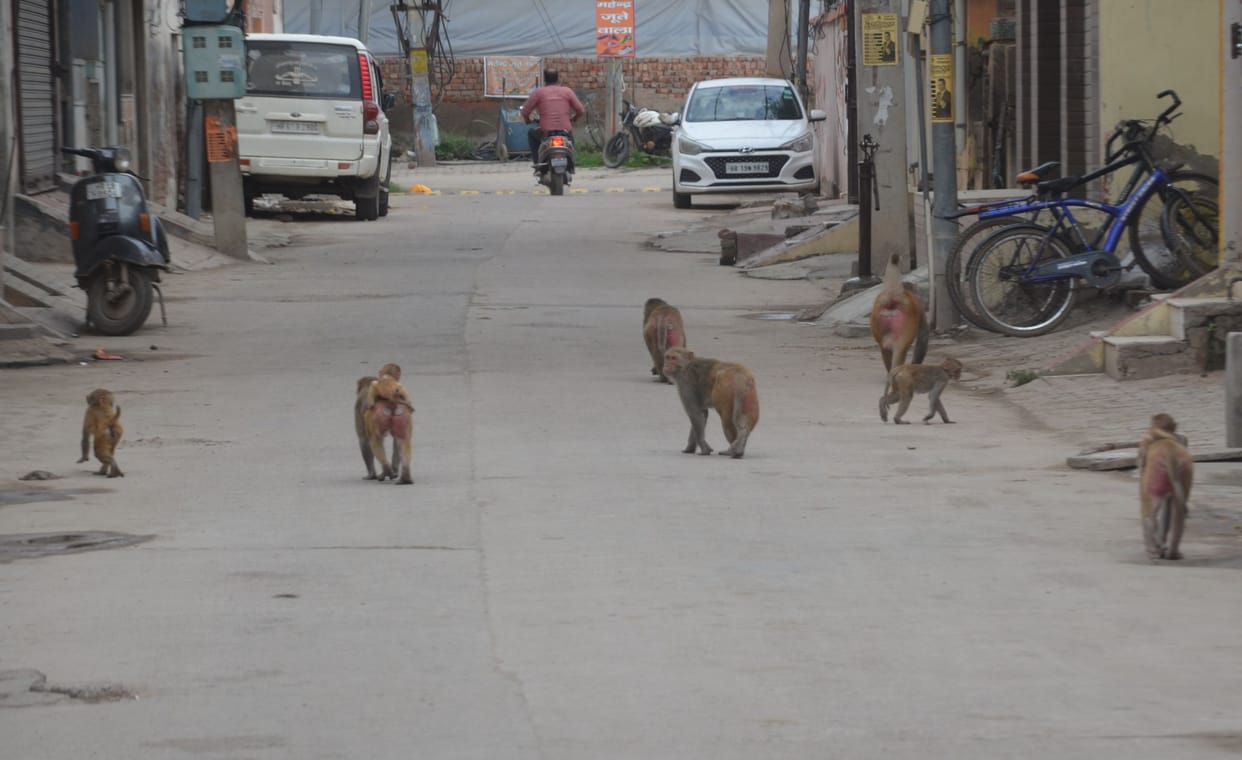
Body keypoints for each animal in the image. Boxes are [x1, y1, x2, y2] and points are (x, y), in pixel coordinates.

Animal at [1139, 413, 1193, 560]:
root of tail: (1170, 453)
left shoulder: (1143, 444)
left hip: (1154, 476)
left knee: (1150, 507)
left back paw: (1153, 549)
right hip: (1185, 470)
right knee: (1178, 509)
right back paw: (1172, 552)